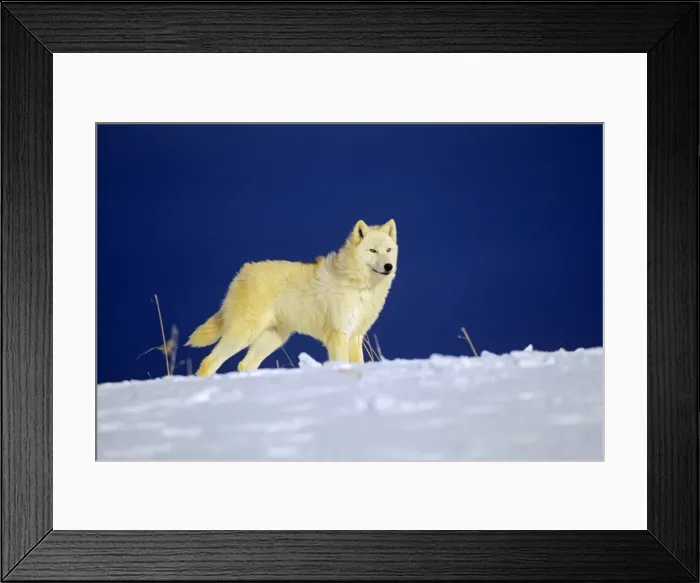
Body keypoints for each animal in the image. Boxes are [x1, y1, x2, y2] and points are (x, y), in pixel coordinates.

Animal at [186, 219, 398, 376]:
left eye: (388, 250)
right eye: (373, 250)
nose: (389, 266)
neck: (361, 286)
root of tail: (243, 272)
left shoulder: (356, 336)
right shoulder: (339, 335)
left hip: (273, 339)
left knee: (244, 365)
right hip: (244, 334)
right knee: (209, 362)